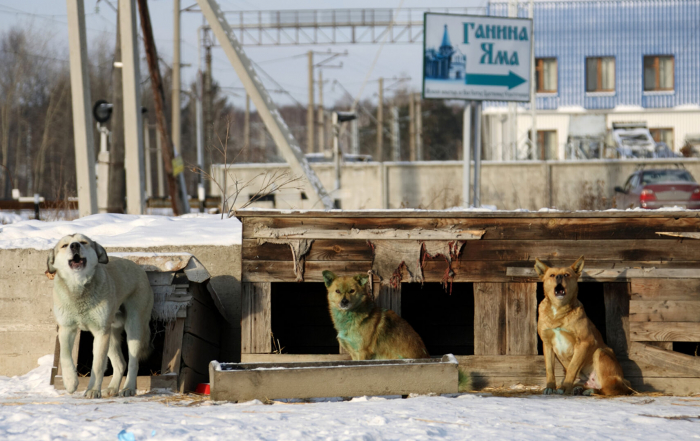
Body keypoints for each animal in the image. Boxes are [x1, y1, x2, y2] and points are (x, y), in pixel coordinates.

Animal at [47, 234, 154, 398]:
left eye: (83, 242)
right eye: (64, 245)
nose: (75, 245)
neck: (79, 289)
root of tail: (139, 268)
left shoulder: (100, 332)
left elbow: (97, 365)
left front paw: (92, 390)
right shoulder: (66, 328)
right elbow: (65, 356)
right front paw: (71, 382)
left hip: (133, 328)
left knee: (133, 362)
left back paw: (128, 388)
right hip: (110, 335)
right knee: (120, 363)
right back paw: (112, 388)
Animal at [536, 254, 636, 396]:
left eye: (566, 274)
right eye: (552, 275)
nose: (559, 277)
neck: (559, 311)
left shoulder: (585, 342)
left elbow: (572, 367)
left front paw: (565, 388)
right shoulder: (547, 343)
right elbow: (549, 369)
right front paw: (550, 387)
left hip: (601, 353)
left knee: (609, 388)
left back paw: (588, 391)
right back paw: (579, 389)